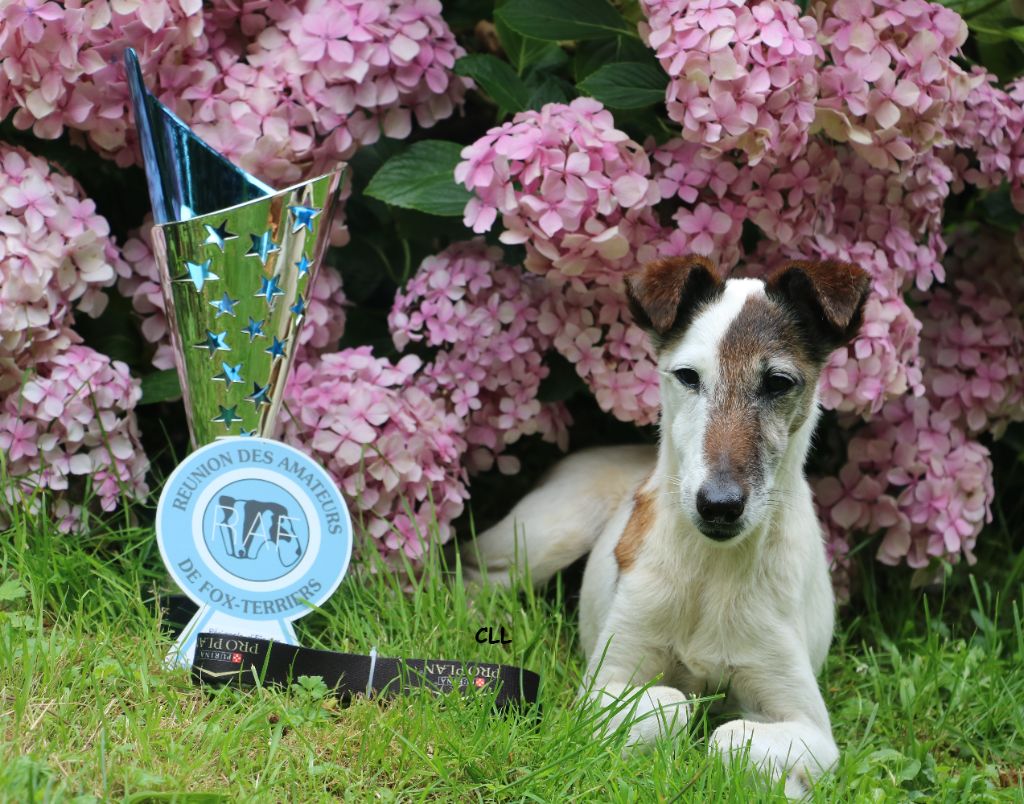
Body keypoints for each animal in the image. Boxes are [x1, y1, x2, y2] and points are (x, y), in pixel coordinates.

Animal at [464, 256, 872, 794]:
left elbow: (730, 737)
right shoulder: (599, 689)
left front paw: (786, 786)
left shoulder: (813, 730)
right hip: (543, 536)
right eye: (687, 376)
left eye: (779, 382)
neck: (710, 570)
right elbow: (673, 704)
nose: (718, 506)